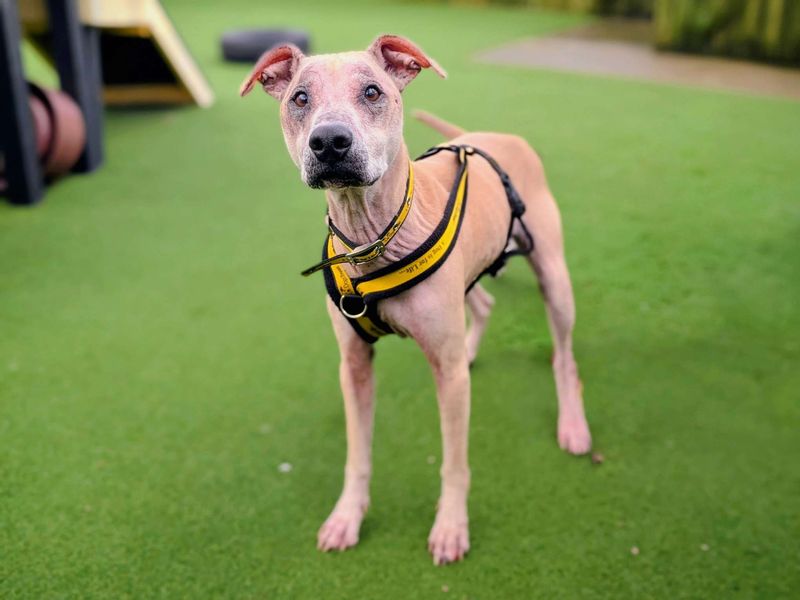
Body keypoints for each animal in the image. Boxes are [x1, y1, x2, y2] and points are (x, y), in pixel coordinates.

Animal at [240, 35, 591, 566]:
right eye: (299, 98)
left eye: (372, 91)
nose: (330, 142)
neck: (373, 238)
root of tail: (495, 136)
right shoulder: (354, 366)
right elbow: (357, 454)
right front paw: (348, 516)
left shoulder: (446, 374)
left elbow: (454, 462)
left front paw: (450, 527)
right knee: (483, 305)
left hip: (554, 276)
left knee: (564, 356)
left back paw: (572, 425)